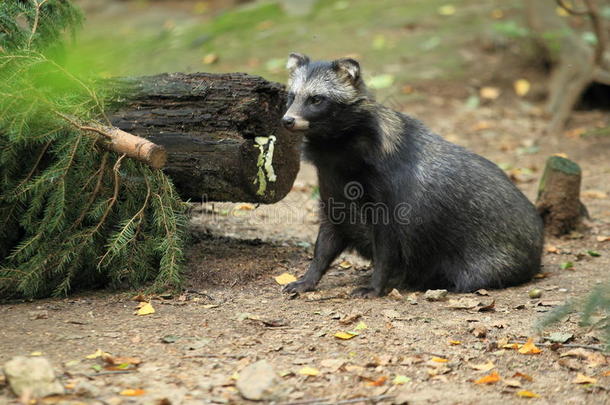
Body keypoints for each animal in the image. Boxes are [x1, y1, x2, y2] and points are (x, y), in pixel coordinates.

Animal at [280, 53, 540, 296]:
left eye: (316, 99)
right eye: (292, 96)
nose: (287, 120)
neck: (336, 149)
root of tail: (537, 246)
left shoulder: (390, 194)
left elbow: (387, 246)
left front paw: (376, 285)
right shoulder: (332, 187)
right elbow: (327, 239)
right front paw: (309, 278)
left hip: (487, 258)